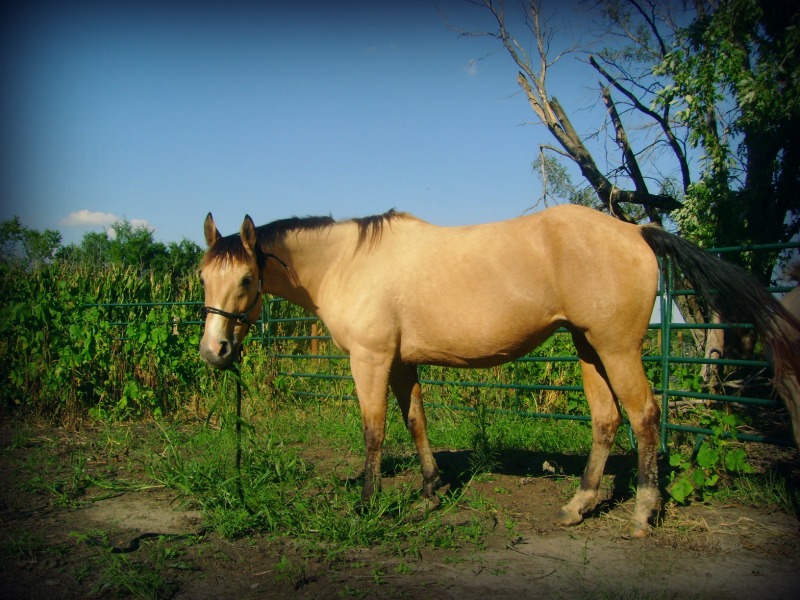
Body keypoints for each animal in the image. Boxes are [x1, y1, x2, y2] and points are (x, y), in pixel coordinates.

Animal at [197, 205, 796, 540]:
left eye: (246, 279)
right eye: (203, 276)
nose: (214, 350)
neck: (349, 262)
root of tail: (636, 231)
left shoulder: (371, 359)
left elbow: (374, 431)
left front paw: (368, 505)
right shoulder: (402, 362)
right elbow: (415, 423)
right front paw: (430, 491)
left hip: (617, 348)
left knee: (643, 415)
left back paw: (643, 513)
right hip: (588, 347)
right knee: (605, 419)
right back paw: (579, 505)